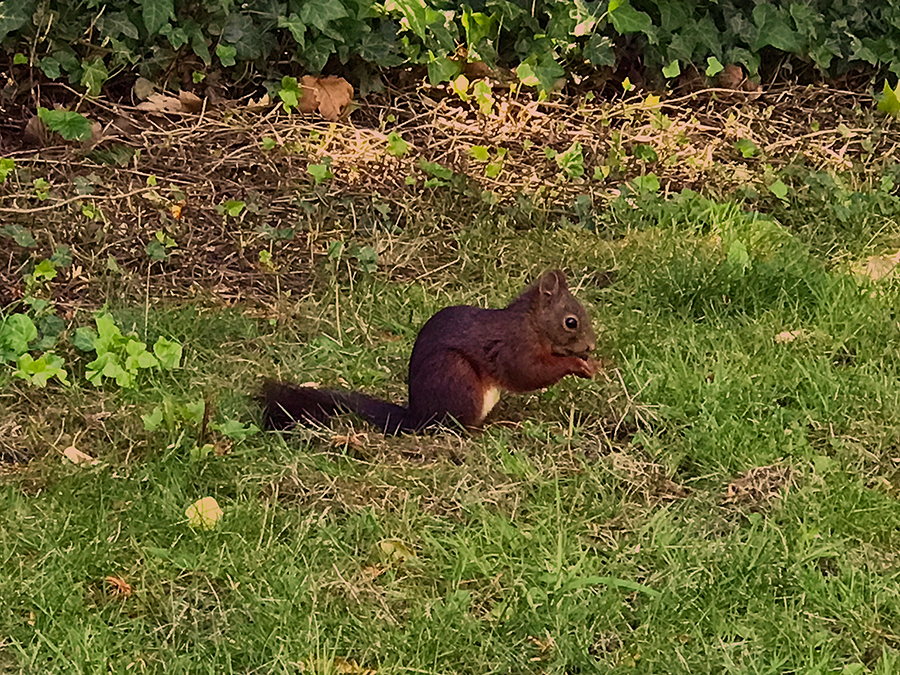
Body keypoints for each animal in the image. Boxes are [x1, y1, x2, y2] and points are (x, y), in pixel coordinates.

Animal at [260, 270, 596, 436]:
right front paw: (575, 365)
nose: (591, 346)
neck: (533, 323)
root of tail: (418, 417)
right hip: (456, 376)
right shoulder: (514, 346)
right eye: (571, 322)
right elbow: (527, 372)